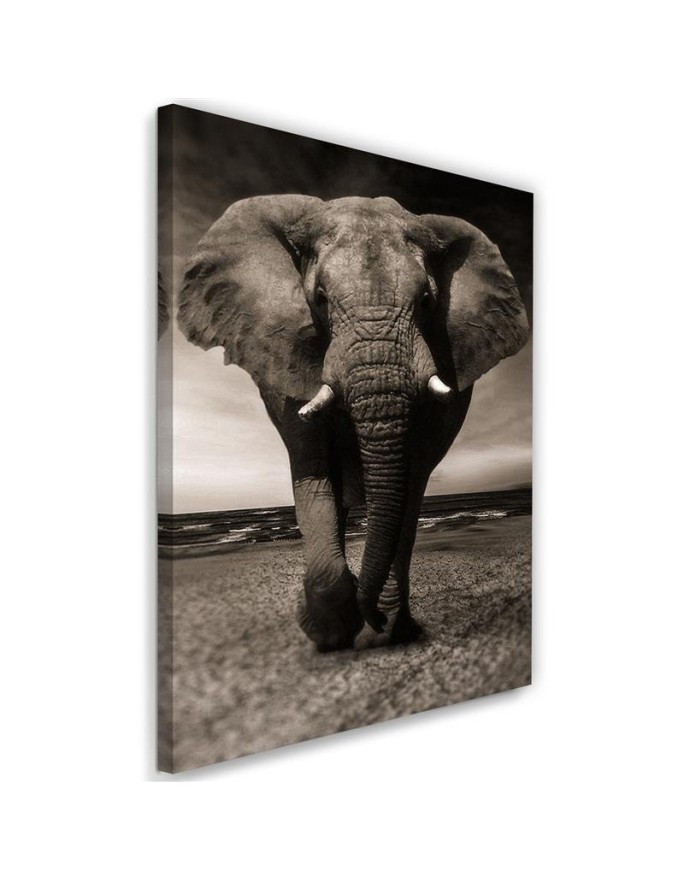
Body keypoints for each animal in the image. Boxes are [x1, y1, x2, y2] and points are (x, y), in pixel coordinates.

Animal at [177, 195, 529, 652]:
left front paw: (376, 625)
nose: (372, 616)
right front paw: (328, 632)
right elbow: (313, 469)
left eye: (427, 302)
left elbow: (408, 483)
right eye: (320, 299)